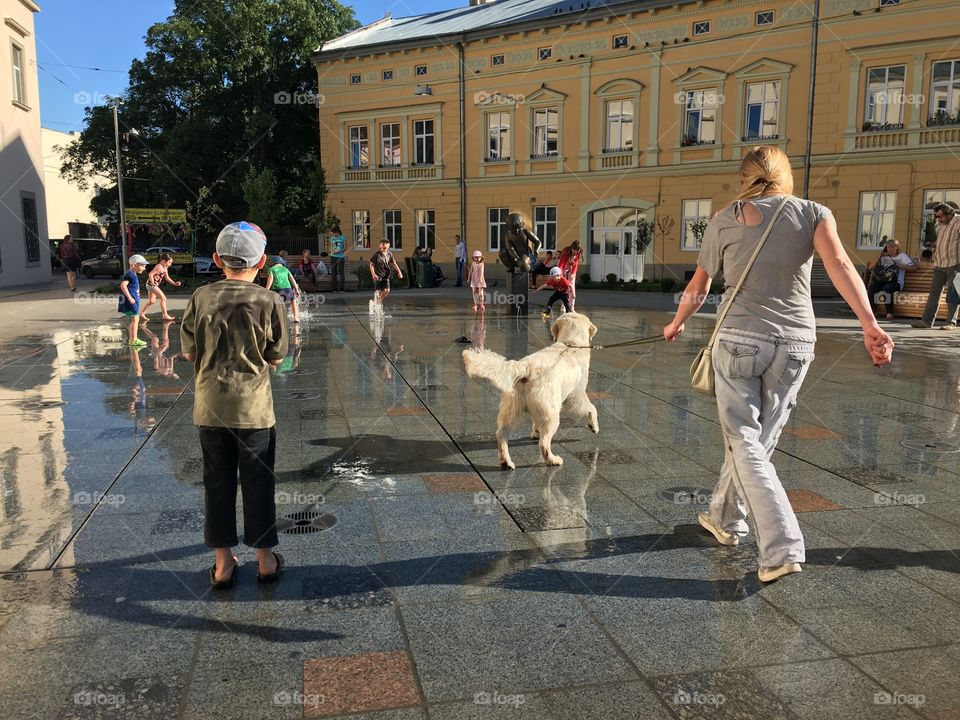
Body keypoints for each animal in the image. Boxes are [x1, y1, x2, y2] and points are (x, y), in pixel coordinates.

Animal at [460, 312, 596, 470]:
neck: (571, 344)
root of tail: (527, 367)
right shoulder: (576, 395)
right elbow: (591, 408)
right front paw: (594, 425)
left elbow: (535, 422)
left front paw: (535, 432)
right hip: (552, 413)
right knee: (544, 443)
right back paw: (553, 460)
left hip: (511, 411)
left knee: (501, 435)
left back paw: (506, 461)